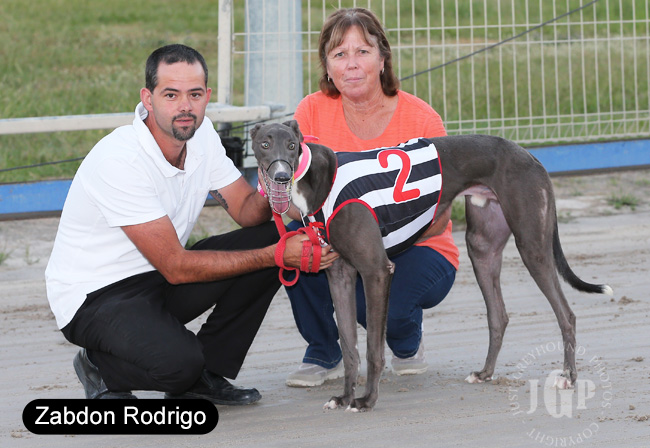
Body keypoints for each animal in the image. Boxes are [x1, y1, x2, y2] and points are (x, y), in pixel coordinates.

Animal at [250, 120, 612, 412]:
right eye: (264, 144)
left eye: (292, 145)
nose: (281, 176)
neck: (323, 179)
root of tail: (530, 155)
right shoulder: (339, 275)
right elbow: (349, 346)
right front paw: (343, 397)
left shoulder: (376, 271)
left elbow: (372, 347)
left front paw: (366, 401)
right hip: (482, 249)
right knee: (498, 315)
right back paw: (485, 373)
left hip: (532, 246)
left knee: (566, 314)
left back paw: (568, 377)